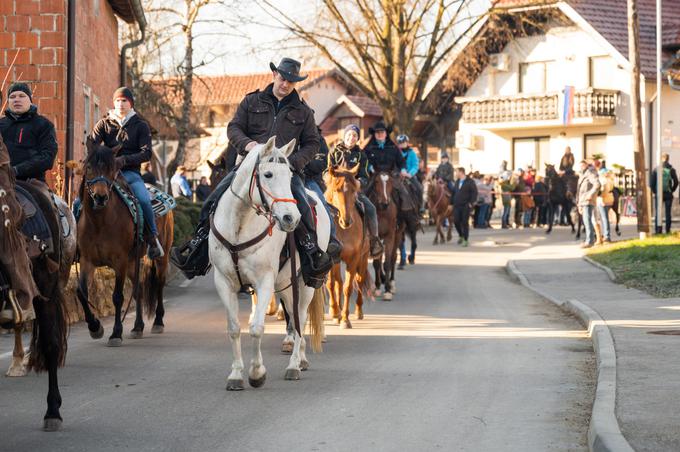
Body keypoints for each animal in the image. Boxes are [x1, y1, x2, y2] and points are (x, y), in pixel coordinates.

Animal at [75, 141, 174, 346]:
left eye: (111, 169)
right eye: (88, 168)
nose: (100, 197)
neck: (99, 222)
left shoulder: (119, 261)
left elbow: (118, 297)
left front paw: (116, 333)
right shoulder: (87, 261)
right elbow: (82, 293)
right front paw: (95, 327)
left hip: (161, 257)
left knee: (159, 284)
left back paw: (158, 322)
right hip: (132, 262)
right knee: (139, 290)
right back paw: (137, 327)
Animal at [211, 136, 330, 390]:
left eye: (290, 174)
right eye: (268, 174)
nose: (290, 218)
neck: (240, 226)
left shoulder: (264, 281)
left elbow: (257, 328)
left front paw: (257, 373)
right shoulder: (224, 281)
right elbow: (234, 328)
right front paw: (236, 375)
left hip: (303, 284)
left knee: (300, 317)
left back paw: (294, 365)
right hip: (284, 285)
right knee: (294, 317)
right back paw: (301, 358)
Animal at [326, 161, 372, 326]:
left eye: (354, 190)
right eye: (336, 189)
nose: (346, 221)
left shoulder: (354, 258)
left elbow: (348, 287)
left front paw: (345, 319)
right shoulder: (331, 258)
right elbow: (332, 283)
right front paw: (335, 312)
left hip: (363, 258)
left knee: (359, 281)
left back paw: (358, 311)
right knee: (337, 282)